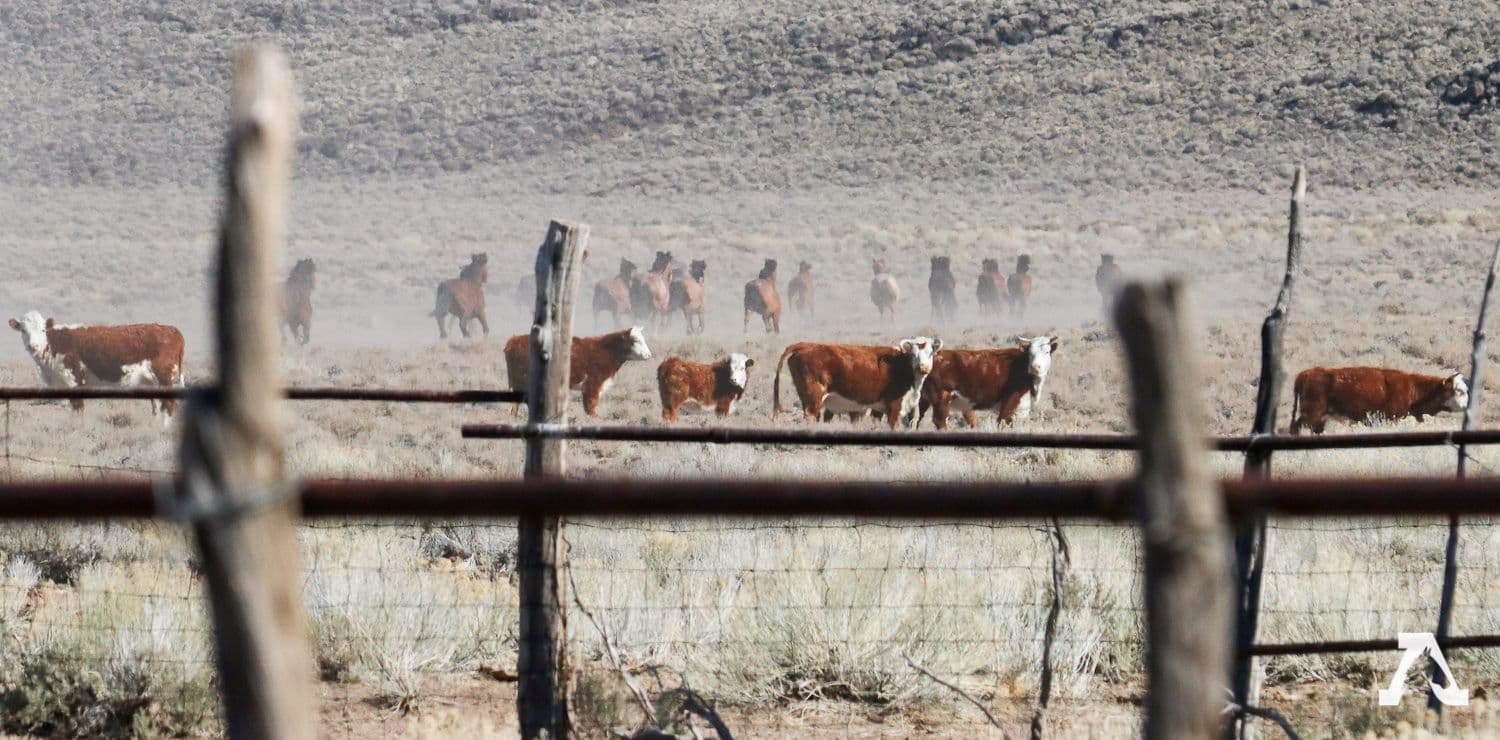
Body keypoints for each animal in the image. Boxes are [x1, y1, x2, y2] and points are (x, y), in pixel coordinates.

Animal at [8, 311, 185, 422]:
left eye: (43, 330)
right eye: (23, 330)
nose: (33, 346)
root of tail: (171, 329)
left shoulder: (75, 379)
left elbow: (78, 409)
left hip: (164, 377)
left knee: (168, 407)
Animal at [503, 327, 653, 417]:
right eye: (635, 340)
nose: (649, 355)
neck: (606, 350)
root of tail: (513, 341)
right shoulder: (592, 384)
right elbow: (591, 406)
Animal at [772, 337, 942, 429]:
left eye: (930, 353)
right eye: (914, 354)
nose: (923, 367)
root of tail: (805, 345)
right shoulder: (894, 406)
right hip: (813, 396)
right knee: (811, 415)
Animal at [919, 336, 1060, 429]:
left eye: (1047, 352)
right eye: (1030, 353)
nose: (1035, 367)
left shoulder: (1023, 409)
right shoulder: (1010, 400)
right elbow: (1002, 422)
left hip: (923, 398)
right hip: (941, 398)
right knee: (940, 422)